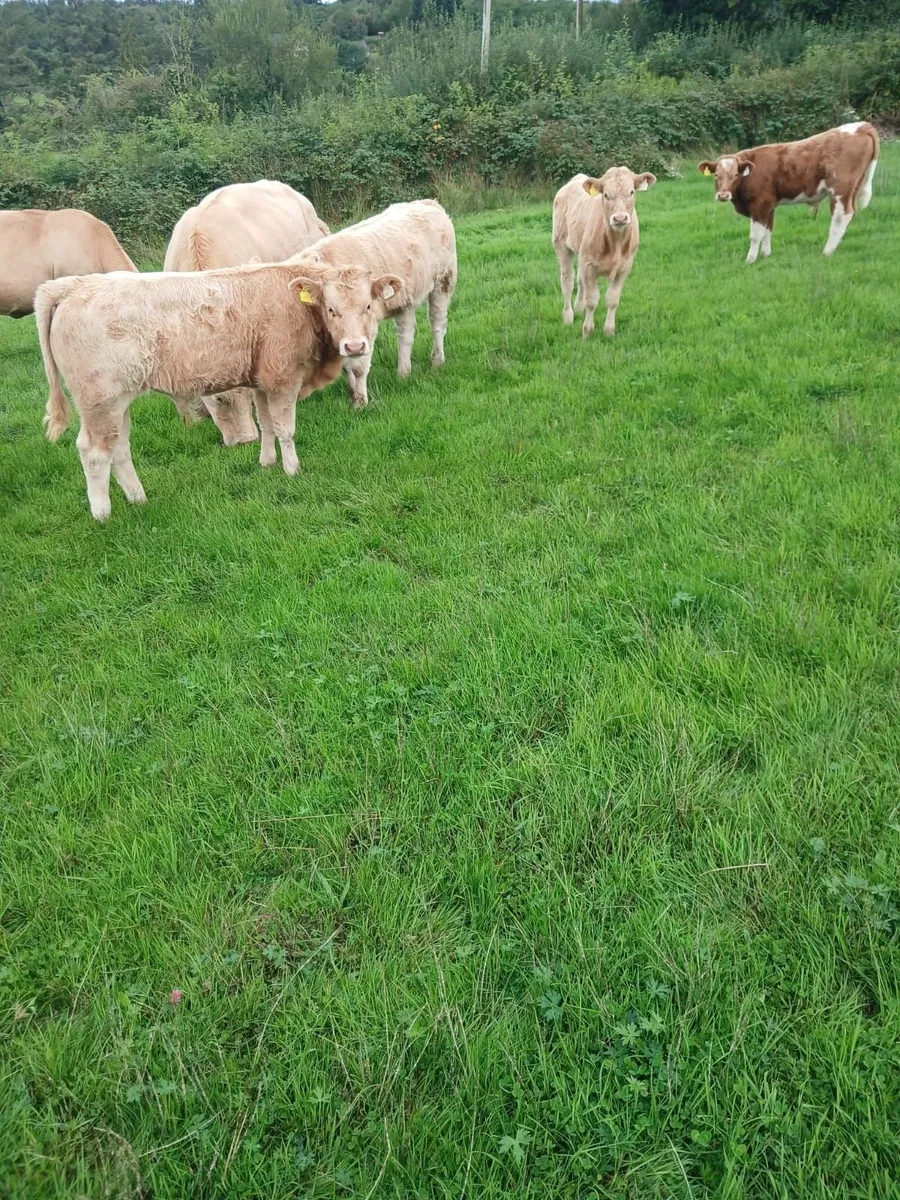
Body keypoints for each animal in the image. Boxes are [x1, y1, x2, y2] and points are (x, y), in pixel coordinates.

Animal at [34, 259, 403, 520]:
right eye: (331, 309)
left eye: (368, 306)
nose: (355, 346)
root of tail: (73, 285)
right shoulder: (282, 378)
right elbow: (285, 429)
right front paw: (292, 470)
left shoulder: (260, 380)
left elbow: (266, 424)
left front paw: (267, 463)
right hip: (100, 402)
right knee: (94, 453)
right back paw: (102, 514)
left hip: (119, 402)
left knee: (119, 449)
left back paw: (139, 499)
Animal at [291, 199, 457, 410]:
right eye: (331, 309)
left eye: (368, 306)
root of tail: (428, 202)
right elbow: (347, 366)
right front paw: (352, 394)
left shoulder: (366, 331)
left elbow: (358, 367)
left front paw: (361, 403)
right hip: (404, 299)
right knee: (406, 334)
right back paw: (403, 373)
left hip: (444, 281)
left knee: (437, 323)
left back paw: (437, 361)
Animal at [552, 166, 656, 338]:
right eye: (606, 195)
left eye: (631, 192)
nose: (620, 218)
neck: (616, 242)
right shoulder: (589, 265)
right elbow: (592, 300)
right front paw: (587, 332)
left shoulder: (625, 267)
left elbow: (612, 299)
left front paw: (609, 331)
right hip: (561, 243)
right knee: (567, 281)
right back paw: (568, 316)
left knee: (579, 280)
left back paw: (578, 308)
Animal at [698, 122, 879, 263]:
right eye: (716, 175)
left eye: (735, 175)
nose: (723, 195)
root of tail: (862, 125)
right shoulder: (769, 204)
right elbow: (768, 230)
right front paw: (766, 255)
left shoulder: (760, 204)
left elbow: (756, 234)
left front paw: (750, 259)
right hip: (854, 187)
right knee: (851, 213)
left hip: (840, 188)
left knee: (841, 216)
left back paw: (827, 252)